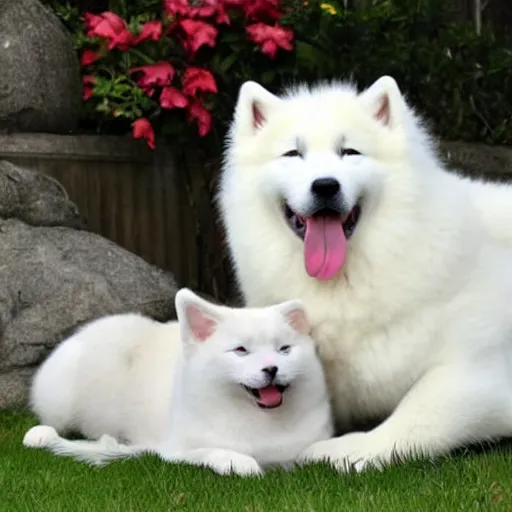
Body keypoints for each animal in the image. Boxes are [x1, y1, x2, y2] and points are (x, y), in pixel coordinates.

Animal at [23, 288, 332, 476]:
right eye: (241, 350)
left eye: (284, 349)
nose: (271, 369)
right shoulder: (175, 450)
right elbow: (215, 451)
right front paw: (240, 462)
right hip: (64, 399)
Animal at [219, 76, 512, 472]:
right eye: (293, 154)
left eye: (350, 152)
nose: (325, 185)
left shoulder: (478, 378)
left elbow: (416, 418)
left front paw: (346, 451)